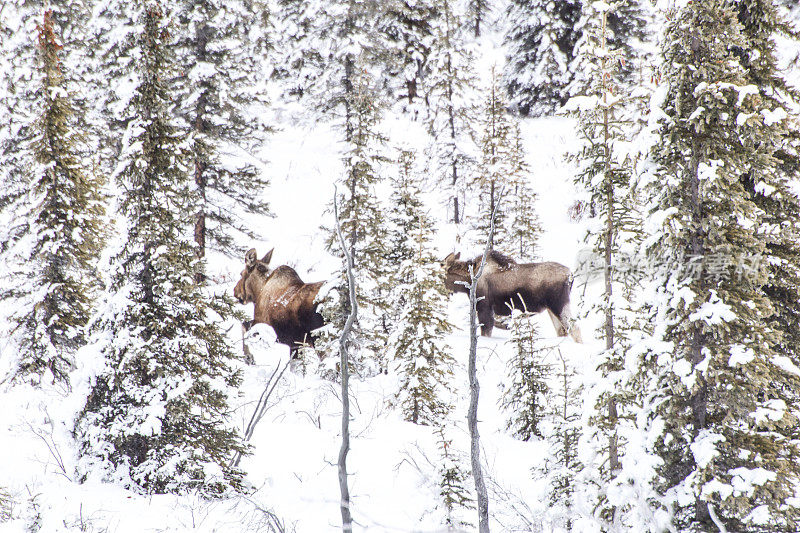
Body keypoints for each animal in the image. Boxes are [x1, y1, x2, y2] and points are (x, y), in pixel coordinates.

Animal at [444, 249, 580, 340]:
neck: (468, 281)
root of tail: (570, 275)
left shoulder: (484, 308)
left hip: (559, 304)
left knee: (575, 329)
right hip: (550, 308)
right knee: (562, 331)